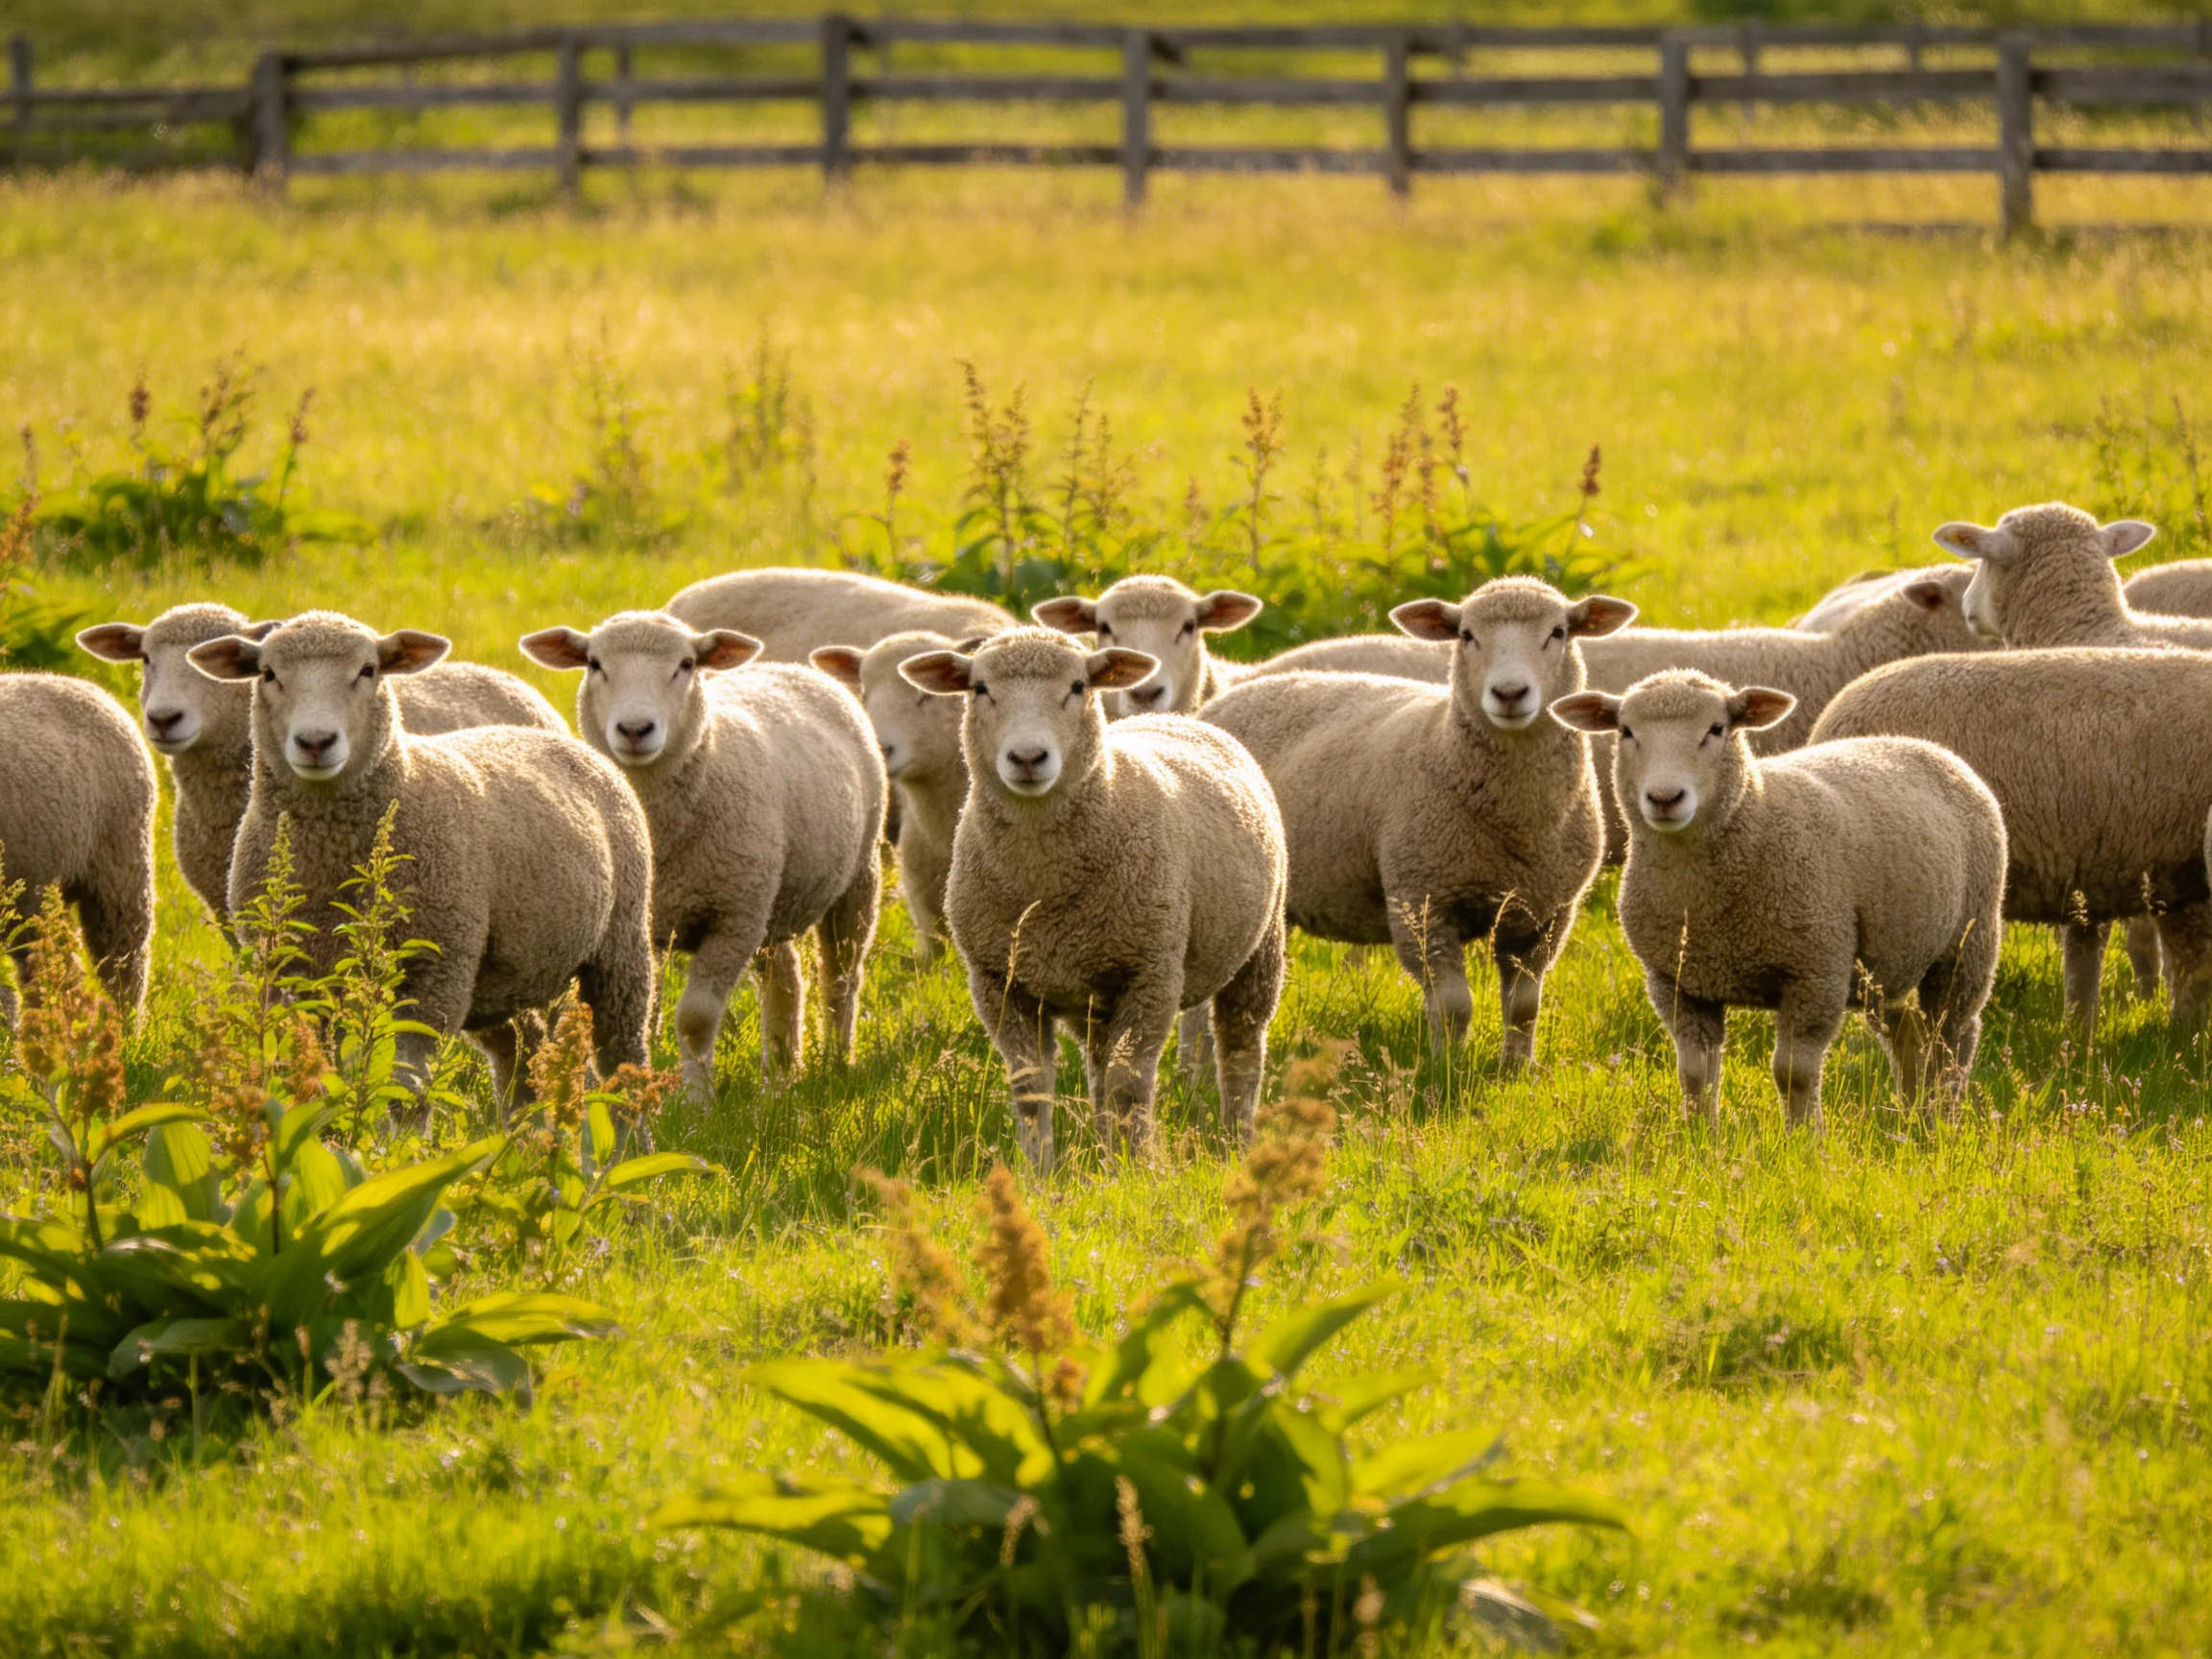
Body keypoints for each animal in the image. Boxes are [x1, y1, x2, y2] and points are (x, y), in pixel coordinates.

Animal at [190, 612, 653, 1101]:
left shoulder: (433, 970)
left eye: (368, 670)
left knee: (623, 1059)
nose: (315, 742)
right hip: (501, 978)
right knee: (518, 1054)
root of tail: (559, 739)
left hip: (620, 945)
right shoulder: (290, 975)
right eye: (268, 674)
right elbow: (309, 1076)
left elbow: (406, 1085)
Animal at [522, 611, 886, 1096]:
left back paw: (836, 1061)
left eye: (687, 664)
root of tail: (791, 667)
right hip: (770, 898)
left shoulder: (731, 918)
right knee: (785, 975)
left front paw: (699, 1100)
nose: (635, 730)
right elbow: (645, 1014)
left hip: (856, 876)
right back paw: (780, 1077)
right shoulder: (646, 923)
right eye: (594, 663)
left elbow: (695, 1019)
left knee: (841, 976)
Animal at [900, 627, 1286, 1171]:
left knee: (1240, 1052)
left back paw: (1235, 1142)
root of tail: (1173, 719)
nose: (1028, 758)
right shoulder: (999, 983)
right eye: (980, 689)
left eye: (1078, 687)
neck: (1043, 882)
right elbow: (1032, 1091)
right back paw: (1108, 1150)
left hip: (1260, 948)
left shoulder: (1151, 973)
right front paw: (1039, 1174)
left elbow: (1129, 1087)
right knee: (1099, 1069)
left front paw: (1135, 1170)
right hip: (1095, 994)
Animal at [1200, 576, 1635, 1069]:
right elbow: (1452, 1006)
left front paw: (1517, 1069)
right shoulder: (1422, 900)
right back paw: (1193, 1067)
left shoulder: (1547, 913)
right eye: (1467, 635)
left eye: (1558, 632)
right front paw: (1446, 1071)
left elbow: (1525, 1006)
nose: (1509, 694)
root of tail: (1228, 696)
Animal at [1553, 670, 2004, 1129]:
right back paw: (1914, 1117)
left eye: (1717, 729)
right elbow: (1695, 1074)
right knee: (1908, 1035)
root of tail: (1922, 745)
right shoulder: (1675, 981)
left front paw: (1805, 1138)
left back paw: (1945, 1117)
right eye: (1626, 731)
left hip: (1967, 943)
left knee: (1953, 1040)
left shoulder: (1815, 973)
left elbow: (1793, 1073)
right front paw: (1701, 1136)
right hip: (1888, 960)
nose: (1664, 799)